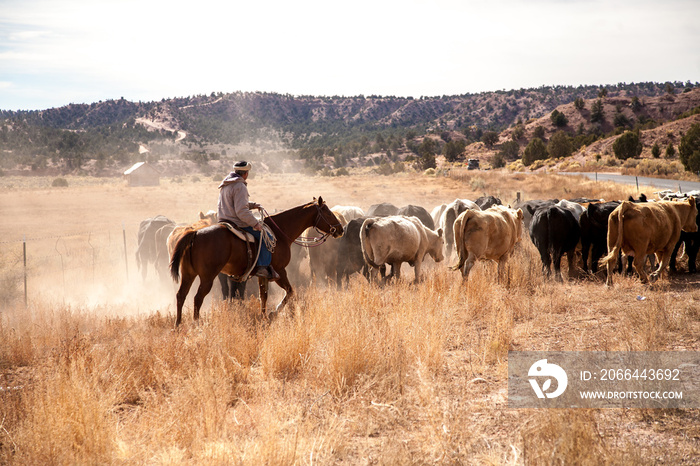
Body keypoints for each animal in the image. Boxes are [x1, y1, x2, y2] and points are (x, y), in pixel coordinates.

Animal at [170, 198, 344, 326]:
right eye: (328, 213)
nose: (340, 229)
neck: (280, 233)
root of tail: (195, 233)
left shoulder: (263, 274)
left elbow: (264, 296)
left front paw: (264, 317)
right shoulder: (280, 271)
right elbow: (290, 292)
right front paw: (274, 314)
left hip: (188, 275)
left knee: (181, 295)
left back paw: (178, 325)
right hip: (207, 277)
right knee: (197, 298)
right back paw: (197, 325)